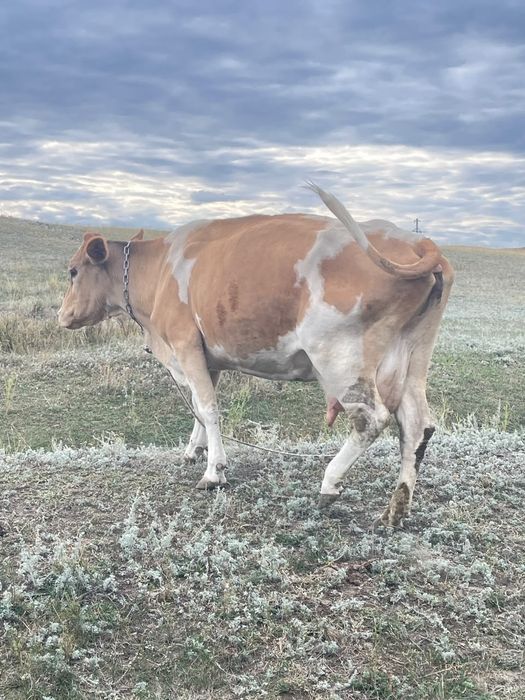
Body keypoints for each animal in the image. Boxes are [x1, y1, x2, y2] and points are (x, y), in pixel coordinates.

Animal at [58, 185, 453, 526]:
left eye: (73, 271)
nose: (61, 315)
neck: (159, 272)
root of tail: (415, 239)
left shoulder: (185, 345)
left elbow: (209, 409)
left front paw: (214, 471)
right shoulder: (207, 357)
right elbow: (199, 407)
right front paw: (194, 450)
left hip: (340, 358)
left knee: (371, 419)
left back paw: (330, 483)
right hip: (412, 359)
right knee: (416, 424)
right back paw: (396, 509)